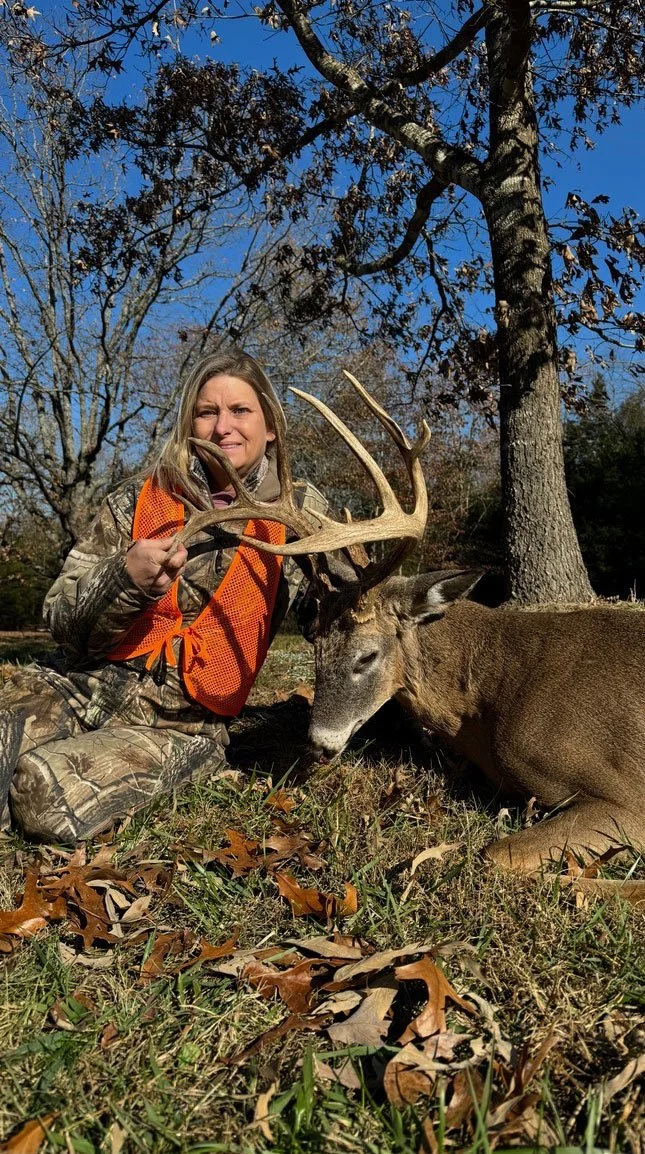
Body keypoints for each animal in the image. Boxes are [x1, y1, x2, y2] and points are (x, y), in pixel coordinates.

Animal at [177, 373, 645, 874]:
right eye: (314, 648)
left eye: (367, 656)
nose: (318, 745)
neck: (489, 692)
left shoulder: (625, 798)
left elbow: (493, 853)